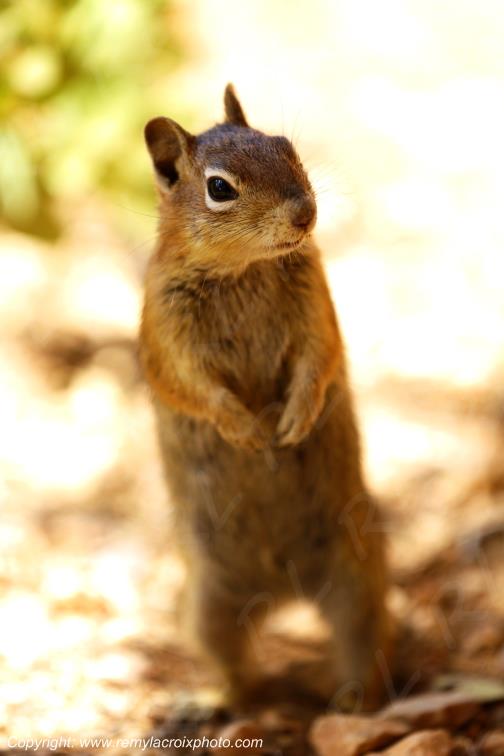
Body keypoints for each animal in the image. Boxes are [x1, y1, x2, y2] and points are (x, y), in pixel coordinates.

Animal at [140, 85, 391, 710]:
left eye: (287, 148)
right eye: (219, 188)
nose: (305, 213)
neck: (242, 268)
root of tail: (284, 590)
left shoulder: (316, 303)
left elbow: (317, 357)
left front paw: (296, 418)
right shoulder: (166, 331)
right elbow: (194, 386)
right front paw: (248, 430)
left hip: (358, 578)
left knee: (363, 640)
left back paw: (355, 700)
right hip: (207, 607)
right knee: (234, 663)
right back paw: (225, 700)